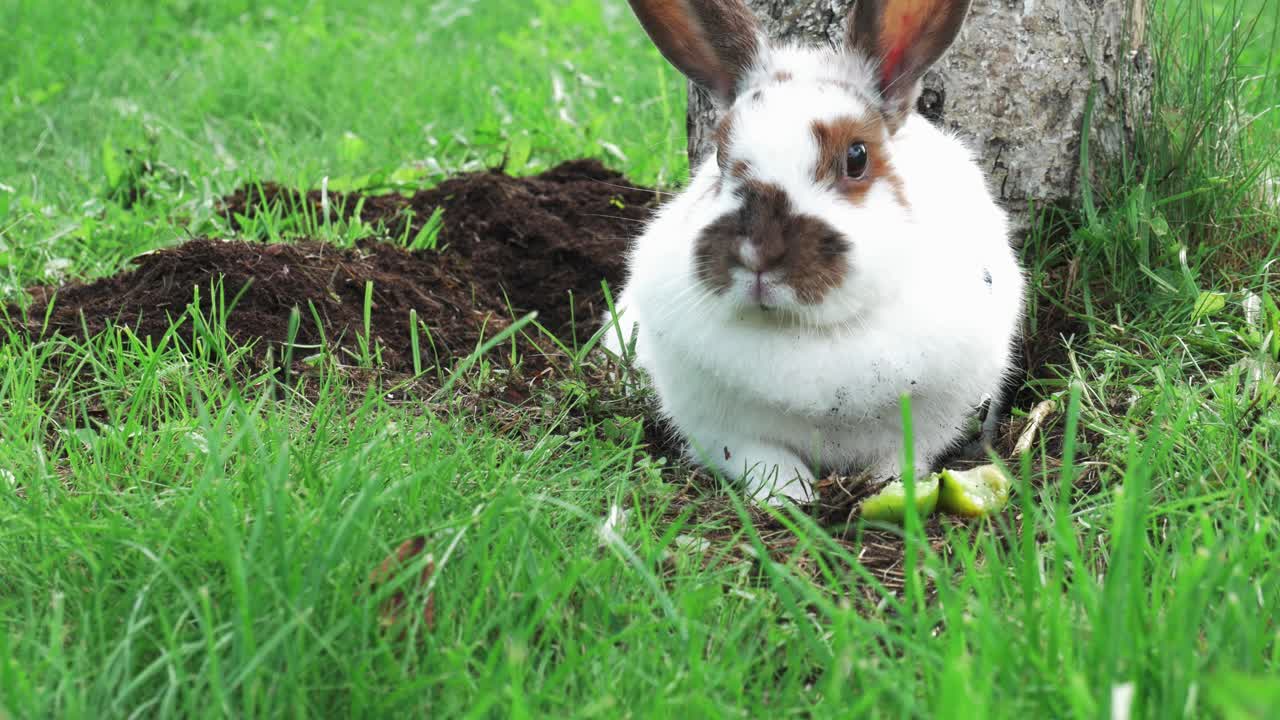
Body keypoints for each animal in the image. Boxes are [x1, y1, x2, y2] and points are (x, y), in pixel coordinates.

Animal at [604, 0, 1026, 505]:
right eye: (720, 158)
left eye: (857, 157)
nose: (758, 253)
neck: (805, 335)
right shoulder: (725, 431)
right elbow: (763, 459)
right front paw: (790, 497)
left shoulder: (930, 422)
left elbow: (903, 459)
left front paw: (884, 488)